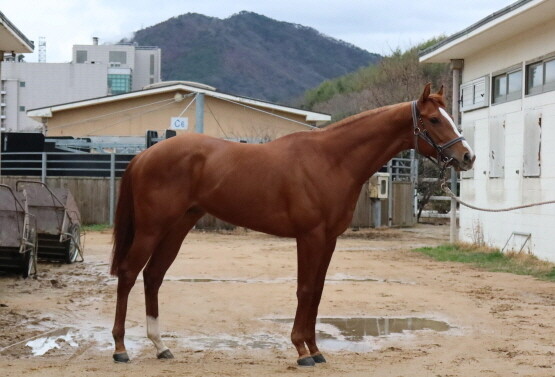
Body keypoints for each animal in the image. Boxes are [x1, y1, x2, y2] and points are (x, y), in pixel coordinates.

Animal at [111, 84, 476, 364]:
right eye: (433, 119)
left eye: (449, 117)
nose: (467, 157)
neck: (331, 160)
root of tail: (144, 156)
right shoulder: (310, 236)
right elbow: (305, 289)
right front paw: (302, 351)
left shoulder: (329, 238)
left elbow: (317, 290)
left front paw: (315, 349)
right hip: (151, 228)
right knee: (129, 274)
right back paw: (120, 348)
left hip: (177, 228)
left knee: (153, 276)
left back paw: (161, 346)